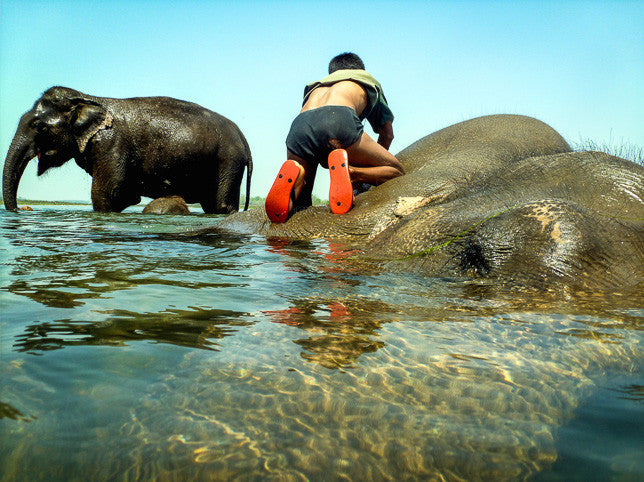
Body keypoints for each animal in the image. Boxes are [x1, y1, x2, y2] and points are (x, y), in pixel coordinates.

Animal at [3, 86, 254, 213]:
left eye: (39, 126)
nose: (19, 210)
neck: (88, 98)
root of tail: (243, 137)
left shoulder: (110, 143)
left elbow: (108, 194)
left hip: (228, 162)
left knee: (221, 205)